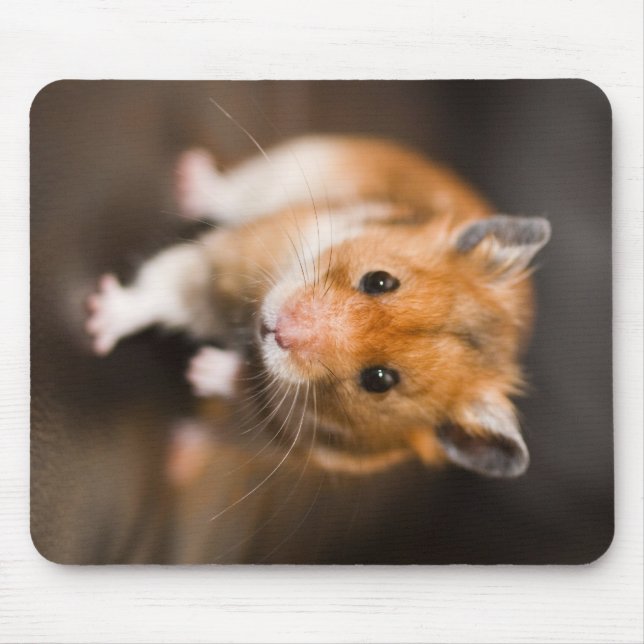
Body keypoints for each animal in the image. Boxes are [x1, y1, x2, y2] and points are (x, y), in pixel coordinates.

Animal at [86, 135, 550, 478]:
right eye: (380, 280)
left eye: (379, 380)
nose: (278, 328)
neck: (246, 324)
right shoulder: (229, 257)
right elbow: (165, 287)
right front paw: (97, 323)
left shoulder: (287, 439)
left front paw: (203, 371)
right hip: (302, 159)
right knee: (227, 189)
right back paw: (189, 175)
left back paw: (180, 460)